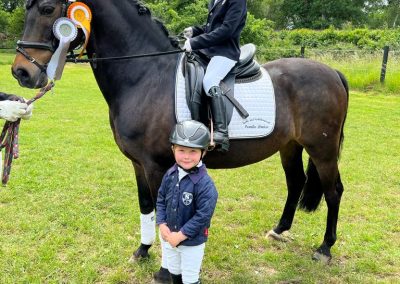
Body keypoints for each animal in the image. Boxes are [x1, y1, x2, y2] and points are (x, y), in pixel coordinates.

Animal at [10, 0, 348, 264]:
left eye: (47, 9)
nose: (21, 72)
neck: (144, 76)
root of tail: (332, 72)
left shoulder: (156, 166)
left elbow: (165, 215)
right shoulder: (138, 163)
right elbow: (146, 207)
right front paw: (142, 251)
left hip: (323, 150)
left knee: (334, 191)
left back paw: (324, 249)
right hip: (290, 146)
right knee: (296, 183)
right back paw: (279, 231)